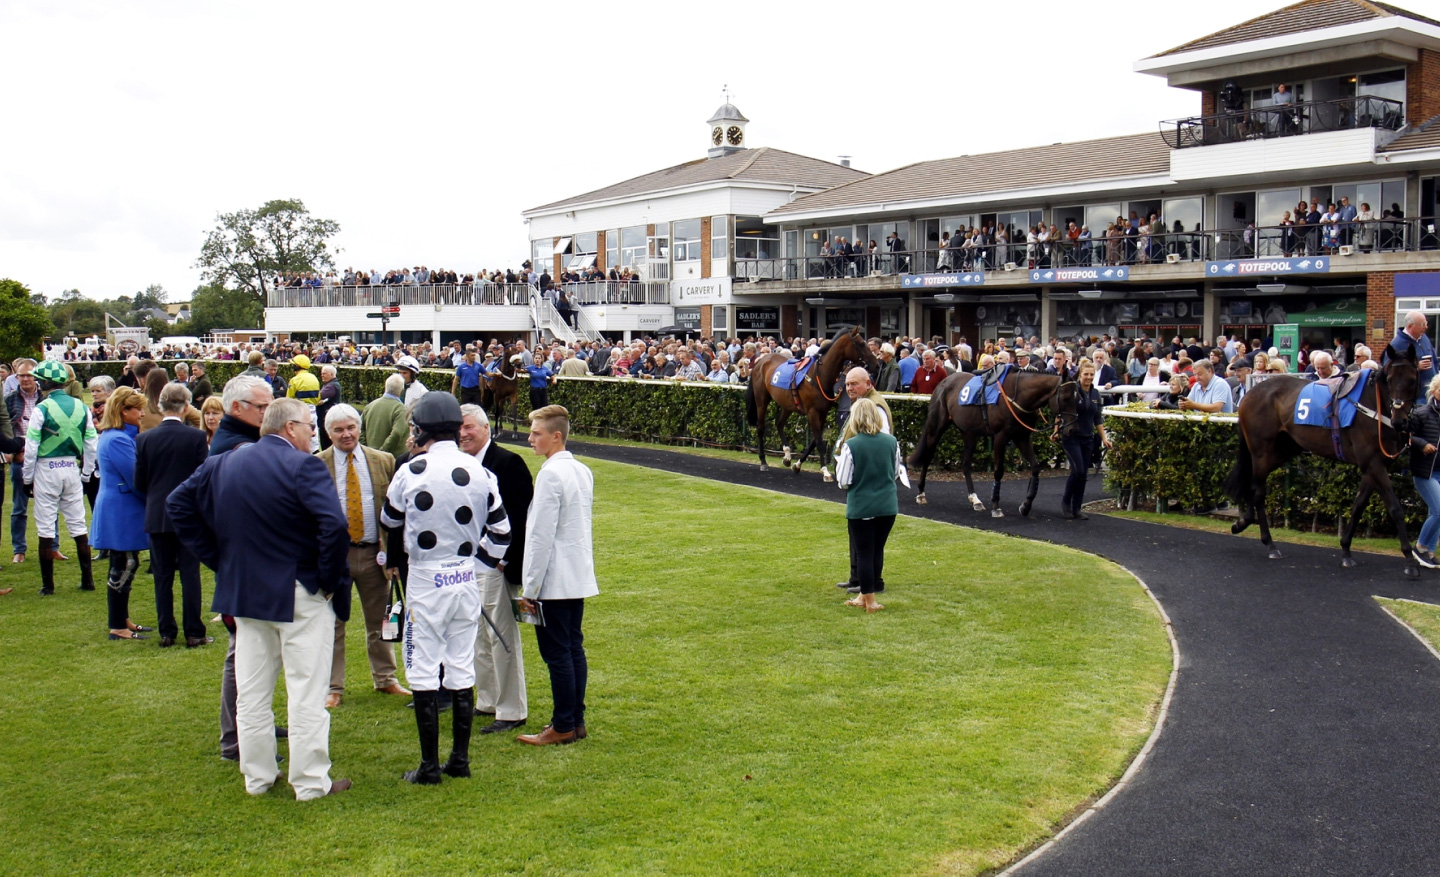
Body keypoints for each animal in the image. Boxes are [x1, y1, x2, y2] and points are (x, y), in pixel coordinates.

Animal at [743, 326, 875, 478]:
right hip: (761, 399)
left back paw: (787, 456)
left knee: (779, 423)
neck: (819, 375)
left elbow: (814, 442)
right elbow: (818, 441)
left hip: (788, 403)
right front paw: (825, 471)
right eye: (861, 344)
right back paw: (763, 461)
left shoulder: (823, 413)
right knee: (761, 428)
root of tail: (760, 361)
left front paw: (797, 465)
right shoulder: (812, 412)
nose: (876, 364)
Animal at [1221, 339, 1422, 576]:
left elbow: (1358, 505)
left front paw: (1346, 550)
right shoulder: (1373, 465)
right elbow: (1396, 509)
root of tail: (1249, 394)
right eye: (1389, 380)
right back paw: (1269, 543)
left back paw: (1243, 522)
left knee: (1252, 485)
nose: (1400, 421)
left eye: (1412, 380)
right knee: (1258, 492)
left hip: (1284, 449)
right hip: (1261, 450)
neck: (1374, 406)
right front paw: (1410, 560)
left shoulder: (1374, 465)